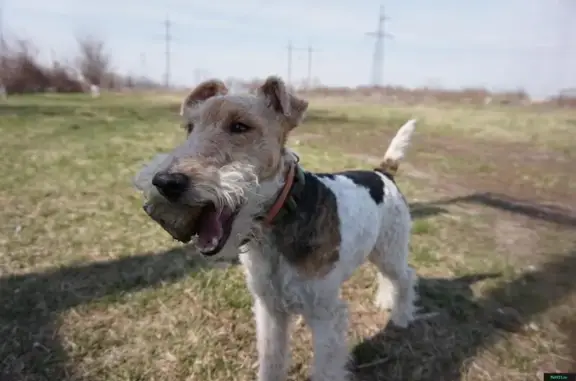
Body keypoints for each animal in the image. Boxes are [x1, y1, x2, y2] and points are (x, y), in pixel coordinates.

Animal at [133, 75, 416, 380]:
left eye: (240, 126)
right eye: (190, 128)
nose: (166, 182)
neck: (278, 222)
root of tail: (382, 173)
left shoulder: (326, 314)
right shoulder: (270, 308)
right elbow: (272, 359)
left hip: (391, 249)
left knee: (406, 277)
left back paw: (401, 317)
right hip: (379, 250)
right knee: (387, 276)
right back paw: (386, 302)